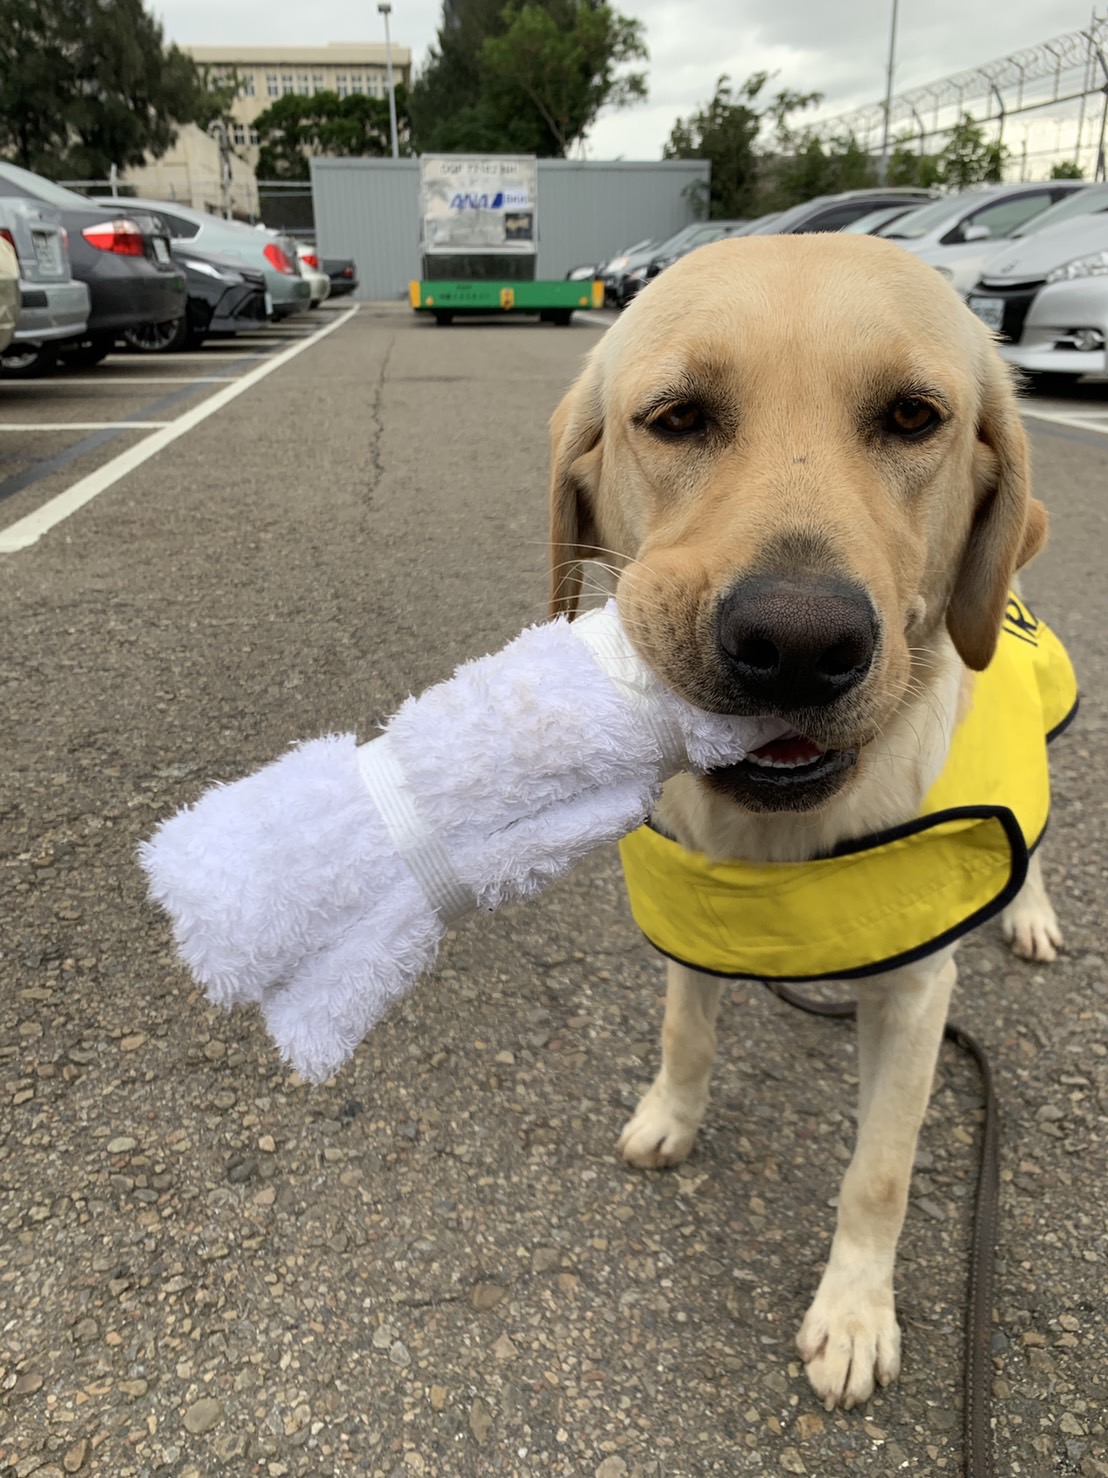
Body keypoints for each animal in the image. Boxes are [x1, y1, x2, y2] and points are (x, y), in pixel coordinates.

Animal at [552, 236, 1063, 1412]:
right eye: (678, 417)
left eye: (913, 416)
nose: (796, 641)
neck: (783, 842)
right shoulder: (692, 914)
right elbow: (685, 1031)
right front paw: (671, 1115)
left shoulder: (919, 996)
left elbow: (879, 1170)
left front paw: (855, 1312)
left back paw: (1032, 912)